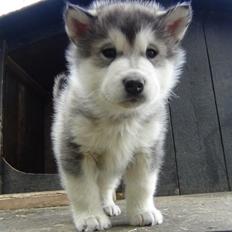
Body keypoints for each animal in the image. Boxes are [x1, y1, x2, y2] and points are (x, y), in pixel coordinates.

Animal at [52, 0, 192, 231]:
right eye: (108, 52)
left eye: (151, 52)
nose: (134, 83)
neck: (121, 118)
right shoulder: (76, 150)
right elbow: (83, 189)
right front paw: (91, 217)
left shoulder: (146, 149)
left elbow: (143, 185)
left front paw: (143, 212)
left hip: (111, 170)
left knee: (106, 187)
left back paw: (108, 206)